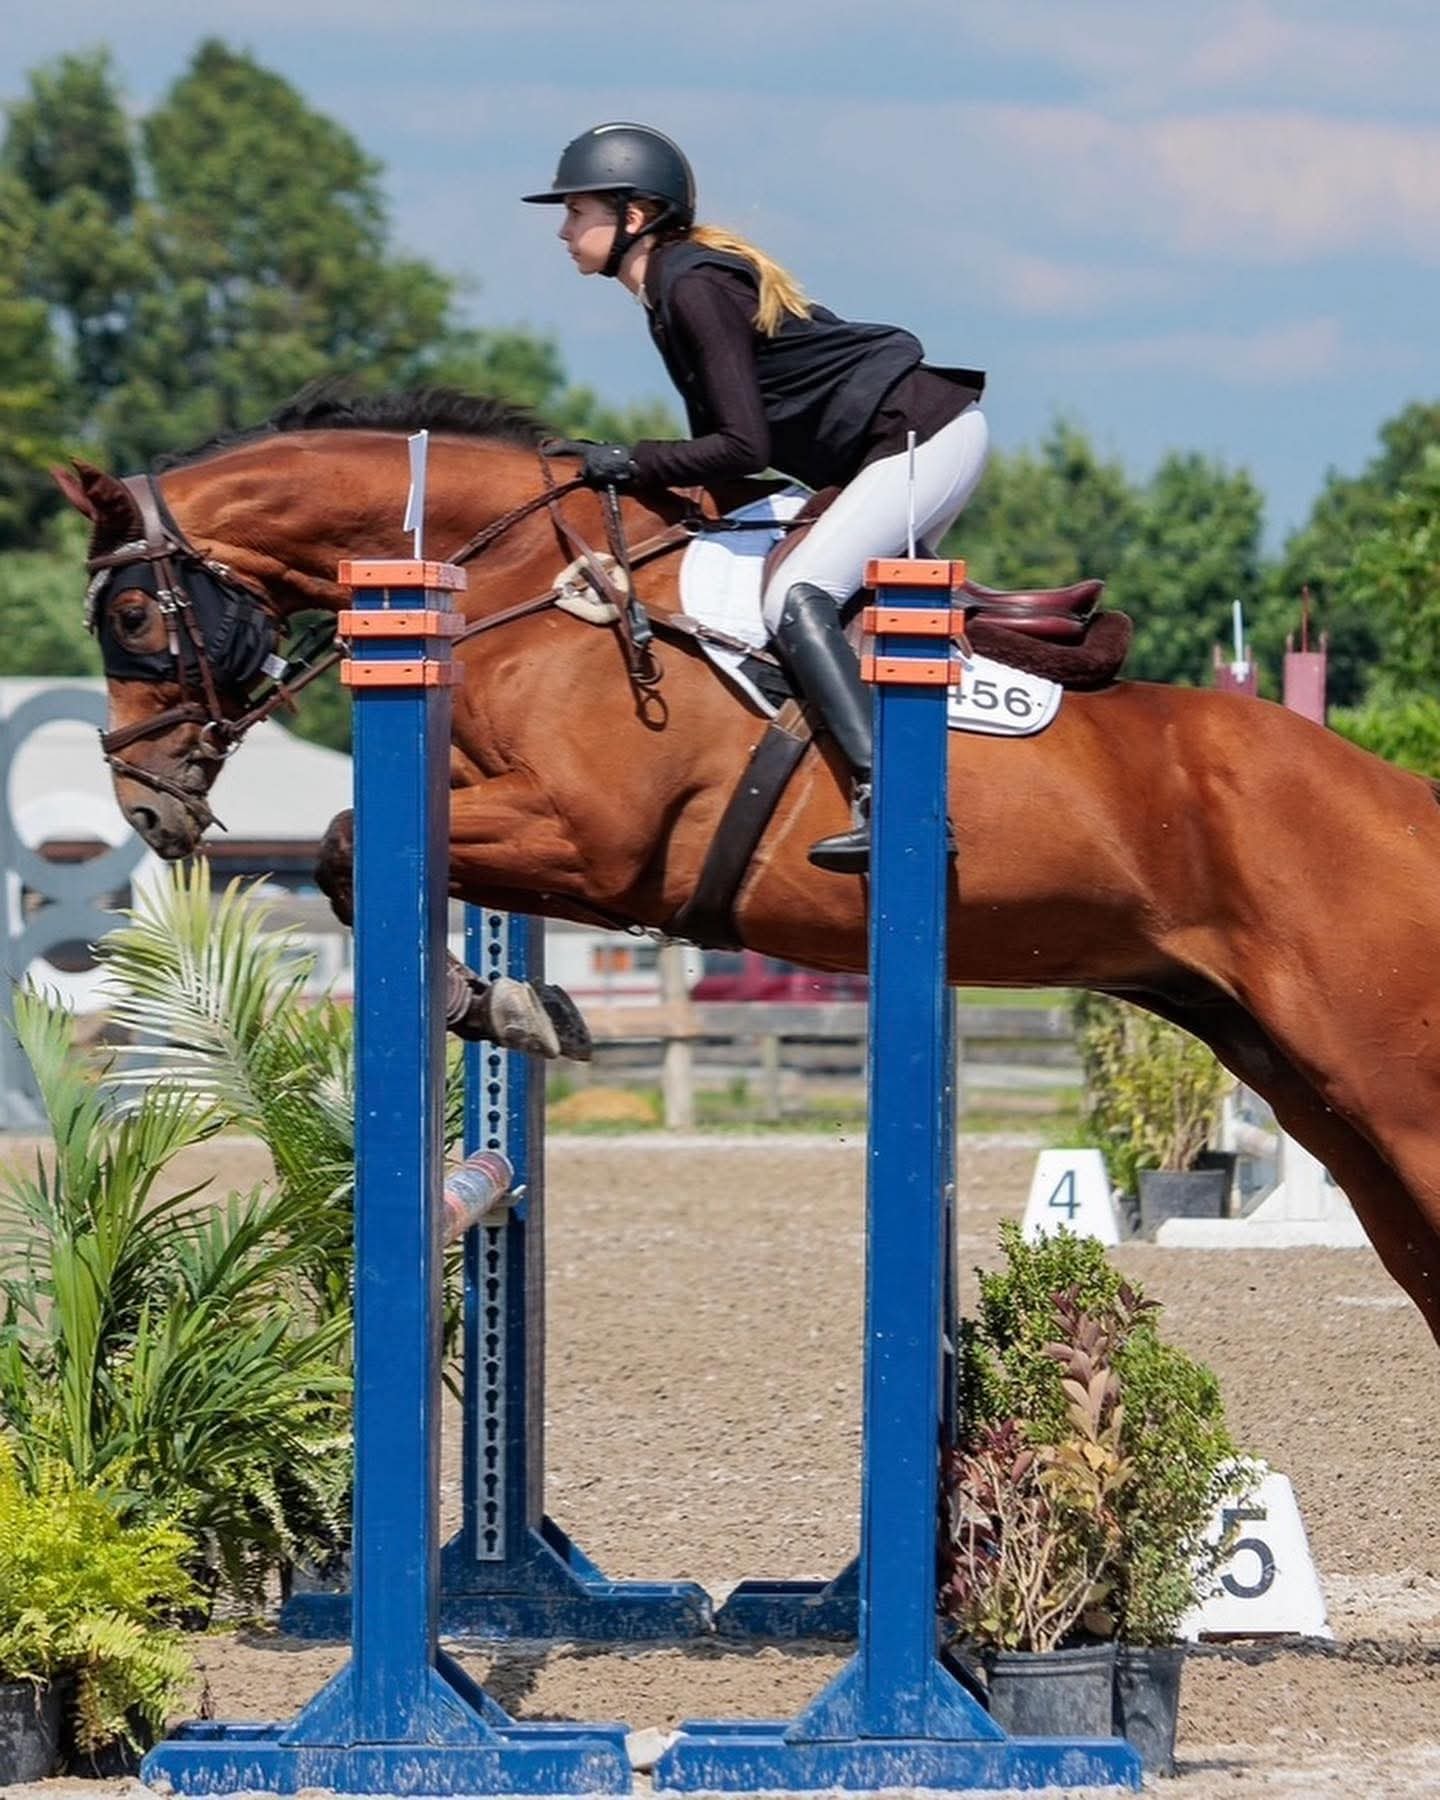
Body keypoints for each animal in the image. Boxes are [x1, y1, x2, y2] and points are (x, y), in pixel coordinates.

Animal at [53, 388, 1440, 1347]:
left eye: (128, 617)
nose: (146, 801)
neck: (534, 583)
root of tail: (1402, 799)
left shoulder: (592, 839)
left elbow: (345, 845)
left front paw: (497, 1004)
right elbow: (361, 860)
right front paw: (518, 1002)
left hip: (1386, 1084)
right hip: (1298, 1077)